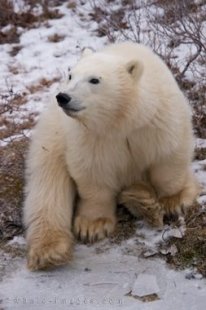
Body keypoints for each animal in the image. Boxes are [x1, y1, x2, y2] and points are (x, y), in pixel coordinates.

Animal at [24, 42, 200, 270]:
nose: (63, 97)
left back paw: (142, 200)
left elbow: (168, 157)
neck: (121, 120)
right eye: (70, 75)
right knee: (48, 184)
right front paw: (92, 226)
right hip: (53, 136)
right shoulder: (91, 137)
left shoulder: (156, 122)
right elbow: (93, 174)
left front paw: (174, 201)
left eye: (94, 79)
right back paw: (50, 250)